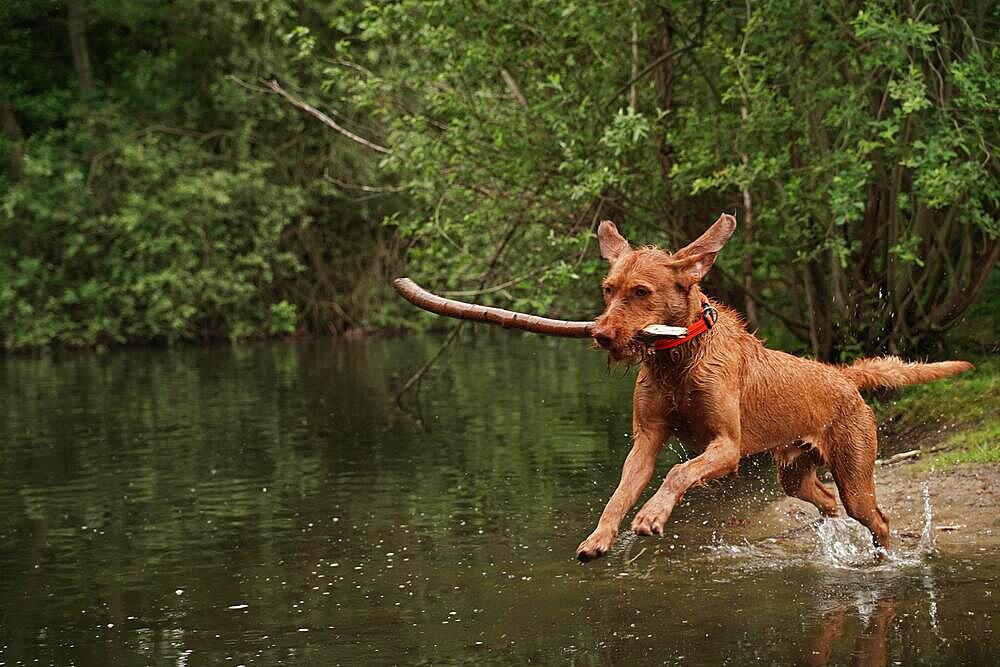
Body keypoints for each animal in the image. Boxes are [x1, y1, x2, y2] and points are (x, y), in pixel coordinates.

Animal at [576, 215, 972, 564]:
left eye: (641, 291)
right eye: (608, 290)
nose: (601, 335)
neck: (678, 359)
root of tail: (844, 377)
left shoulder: (727, 447)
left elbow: (678, 472)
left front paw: (651, 515)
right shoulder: (646, 440)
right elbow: (619, 494)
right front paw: (599, 537)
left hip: (854, 475)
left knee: (879, 519)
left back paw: (881, 561)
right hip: (794, 475)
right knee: (829, 501)